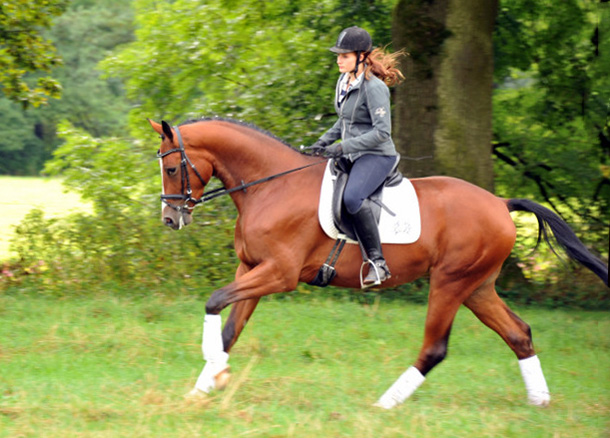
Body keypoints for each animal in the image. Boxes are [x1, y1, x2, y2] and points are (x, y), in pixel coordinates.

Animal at [148, 118, 608, 408]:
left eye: (171, 168)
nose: (170, 219)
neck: (270, 186)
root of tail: (499, 202)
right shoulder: (251, 271)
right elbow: (229, 329)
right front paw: (204, 386)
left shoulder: (278, 274)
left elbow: (214, 302)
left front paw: (213, 373)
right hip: (477, 287)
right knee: (519, 334)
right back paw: (540, 401)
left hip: (450, 282)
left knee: (435, 348)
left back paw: (385, 403)